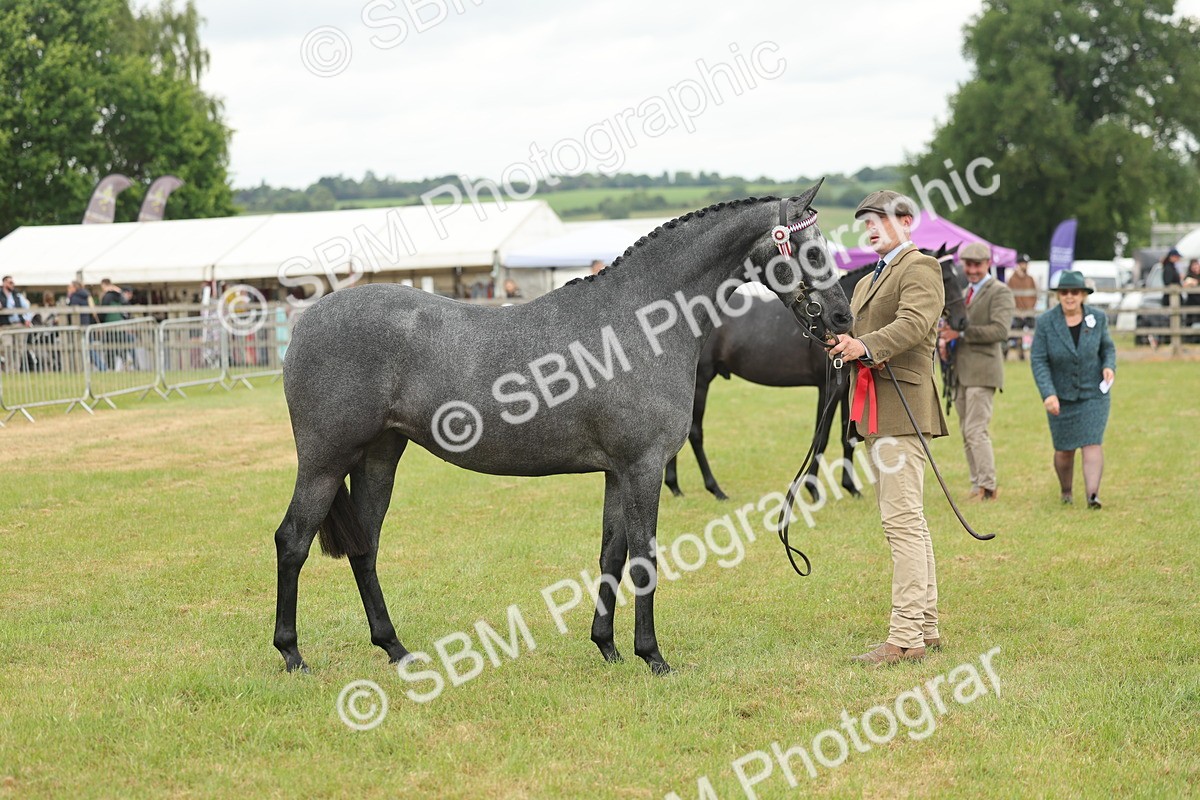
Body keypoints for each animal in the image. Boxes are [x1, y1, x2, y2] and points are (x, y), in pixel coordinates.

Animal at [272, 184, 854, 676]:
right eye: (813, 251)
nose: (843, 319)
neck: (637, 325)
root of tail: (306, 322)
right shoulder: (643, 466)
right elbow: (644, 558)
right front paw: (652, 656)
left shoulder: (618, 472)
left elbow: (611, 553)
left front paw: (608, 646)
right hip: (325, 461)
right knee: (293, 540)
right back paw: (293, 654)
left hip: (379, 456)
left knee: (365, 547)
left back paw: (395, 647)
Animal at [663, 244, 967, 501]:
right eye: (944, 278)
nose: (962, 321)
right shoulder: (828, 386)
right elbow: (821, 438)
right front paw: (813, 489)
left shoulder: (846, 388)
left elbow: (849, 436)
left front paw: (851, 487)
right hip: (702, 382)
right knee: (694, 432)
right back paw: (714, 488)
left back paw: (675, 486)